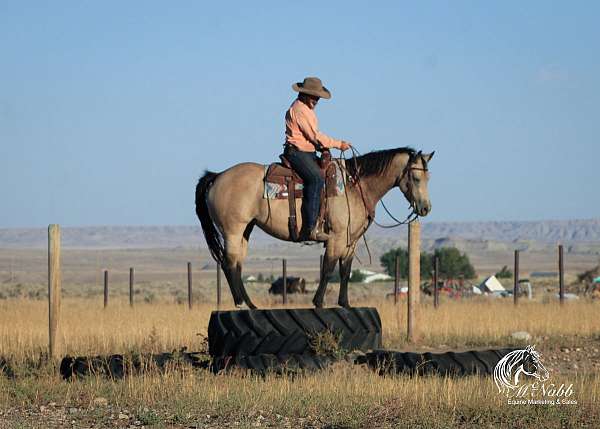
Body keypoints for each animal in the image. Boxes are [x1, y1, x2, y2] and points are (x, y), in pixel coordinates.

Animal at [195, 147, 434, 308]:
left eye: (428, 177)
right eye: (415, 177)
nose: (425, 208)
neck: (355, 187)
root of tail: (218, 176)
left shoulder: (351, 242)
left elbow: (345, 271)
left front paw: (344, 303)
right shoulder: (336, 238)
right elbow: (328, 269)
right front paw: (318, 302)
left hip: (246, 230)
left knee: (237, 265)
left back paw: (250, 304)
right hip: (232, 230)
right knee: (229, 264)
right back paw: (240, 303)